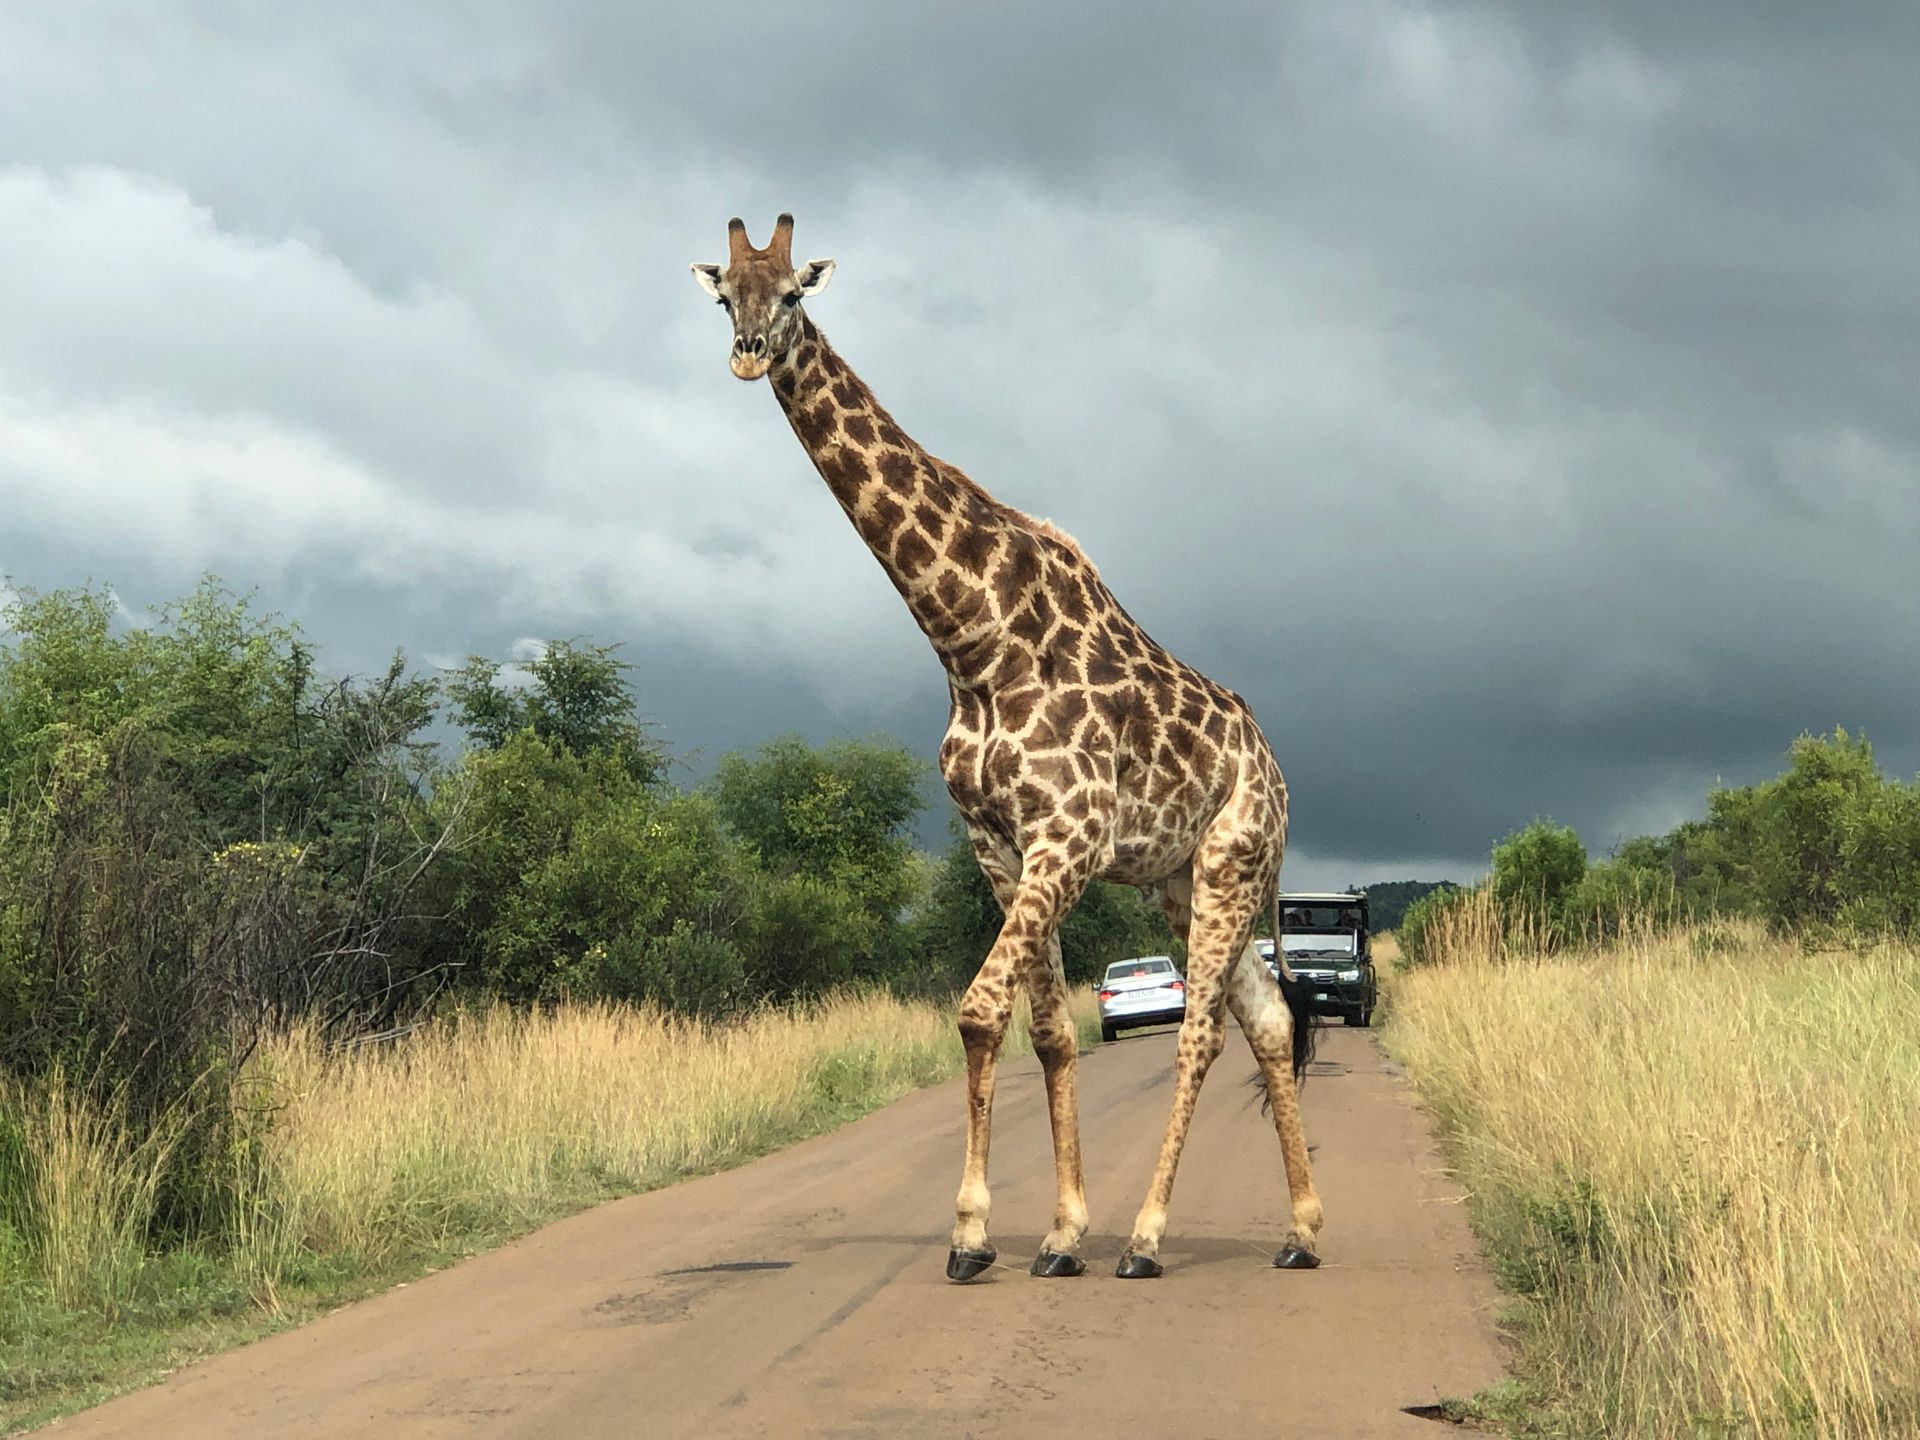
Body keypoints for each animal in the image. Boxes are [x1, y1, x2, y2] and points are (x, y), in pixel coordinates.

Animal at [692, 215, 1323, 1281]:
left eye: (794, 294)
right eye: (723, 292)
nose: (746, 353)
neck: (968, 635)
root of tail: (1277, 768)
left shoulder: (1069, 835)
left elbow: (979, 1012)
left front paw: (972, 1235)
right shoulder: (999, 843)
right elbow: (1051, 1032)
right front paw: (1057, 1234)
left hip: (1234, 860)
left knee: (1200, 1035)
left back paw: (1148, 1237)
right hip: (1182, 877)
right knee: (1271, 1020)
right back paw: (1302, 1230)